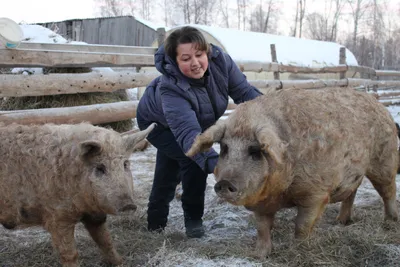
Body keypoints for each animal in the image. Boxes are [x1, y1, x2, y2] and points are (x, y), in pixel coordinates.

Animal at [0, 122, 155, 266]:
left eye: (125, 164)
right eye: (100, 168)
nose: (128, 205)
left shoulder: (95, 216)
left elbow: (106, 241)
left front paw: (120, 262)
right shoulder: (58, 217)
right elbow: (70, 253)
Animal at [186, 89, 398, 258]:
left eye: (255, 151)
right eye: (224, 148)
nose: (224, 183)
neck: (279, 192)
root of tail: (380, 105)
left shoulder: (316, 193)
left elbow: (302, 225)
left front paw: (299, 248)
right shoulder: (261, 204)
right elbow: (262, 228)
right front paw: (260, 255)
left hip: (384, 160)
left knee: (388, 191)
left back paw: (391, 222)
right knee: (352, 192)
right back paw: (341, 222)